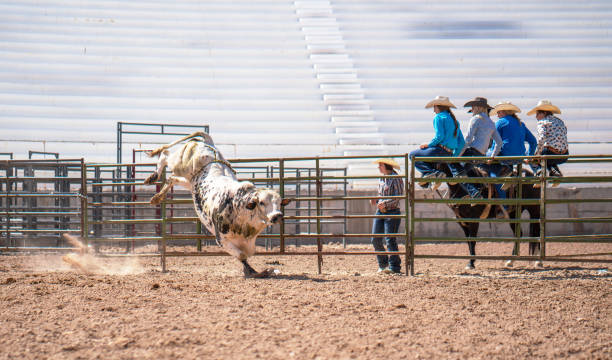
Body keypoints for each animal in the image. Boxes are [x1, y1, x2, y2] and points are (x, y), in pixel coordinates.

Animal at [143, 133, 290, 278]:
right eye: (261, 202)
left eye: (279, 202)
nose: (277, 216)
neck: (238, 207)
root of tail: (208, 142)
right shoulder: (222, 240)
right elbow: (242, 255)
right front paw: (254, 272)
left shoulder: (248, 242)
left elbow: (246, 254)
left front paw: (256, 271)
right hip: (180, 165)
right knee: (165, 155)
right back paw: (153, 176)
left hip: (189, 182)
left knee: (172, 178)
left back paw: (157, 197)